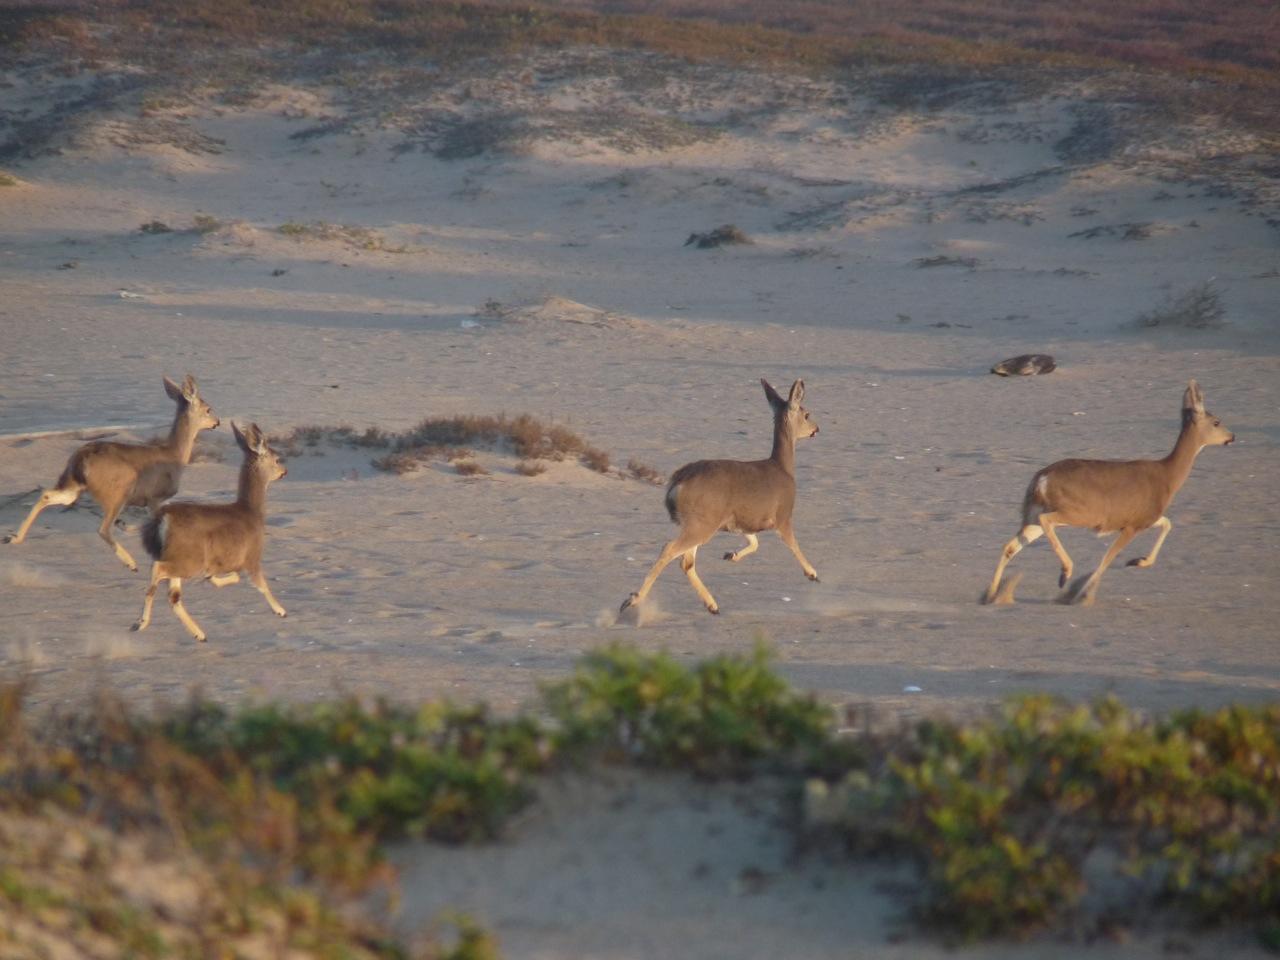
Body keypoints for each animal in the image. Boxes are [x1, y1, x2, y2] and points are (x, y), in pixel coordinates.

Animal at [4, 373, 220, 570]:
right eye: (208, 409)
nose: (217, 422)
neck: (174, 453)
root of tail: (82, 459)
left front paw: (125, 525)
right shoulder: (155, 497)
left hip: (74, 485)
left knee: (48, 495)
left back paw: (15, 538)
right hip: (118, 491)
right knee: (103, 529)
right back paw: (131, 563)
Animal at [132, 422, 288, 642]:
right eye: (276, 459)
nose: (285, 471)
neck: (252, 512)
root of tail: (163, 519)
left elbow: (228, 576)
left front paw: (214, 579)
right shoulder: (252, 556)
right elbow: (261, 584)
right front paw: (280, 610)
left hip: (179, 557)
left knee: (173, 596)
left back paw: (199, 634)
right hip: (189, 558)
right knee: (159, 570)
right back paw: (141, 622)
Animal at [619, 378, 819, 616]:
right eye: (806, 414)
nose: (816, 429)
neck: (783, 468)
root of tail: (678, 483)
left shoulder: (743, 522)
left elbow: (755, 543)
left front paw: (731, 555)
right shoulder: (782, 515)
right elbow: (793, 544)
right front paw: (812, 573)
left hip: (698, 522)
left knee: (686, 561)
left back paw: (712, 605)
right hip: (703, 522)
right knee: (670, 550)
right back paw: (632, 600)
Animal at [983, 378, 1233, 609]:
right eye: (1217, 422)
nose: (1231, 437)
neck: (1167, 477)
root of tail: (1041, 480)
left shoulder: (1143, 518)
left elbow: (1167, 523)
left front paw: (1138, 561)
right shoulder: (1131, 525)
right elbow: (1106, 559)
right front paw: (1081, 595)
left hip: (1033, 515)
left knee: (1010, 546)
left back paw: (992, 595)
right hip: (1080, 512)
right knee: (1047, 522)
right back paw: (1065, 573)